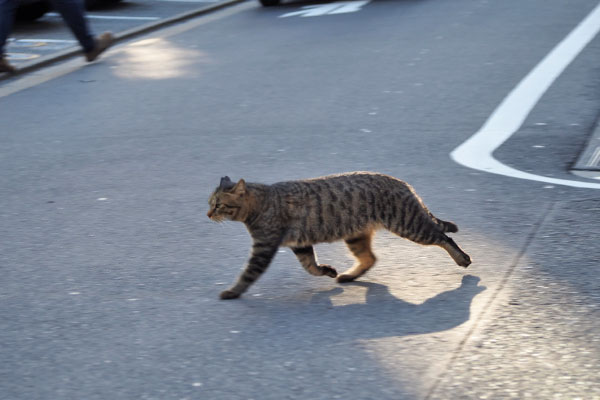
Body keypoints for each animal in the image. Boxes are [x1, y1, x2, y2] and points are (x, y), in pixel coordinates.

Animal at [209, 172, 472, 300]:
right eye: (210, 203)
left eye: (218, 205)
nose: (208, 213)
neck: (262, 202)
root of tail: (404, 184)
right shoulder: (300, 244)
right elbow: (311, 266)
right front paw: (328, 271)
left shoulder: (264, 247)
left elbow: (247, 274)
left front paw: (232, 292)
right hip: (356, 236)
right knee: (369, 258)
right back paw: (348, 276)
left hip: (409, 224)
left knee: (443, 237)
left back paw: (463, 258)